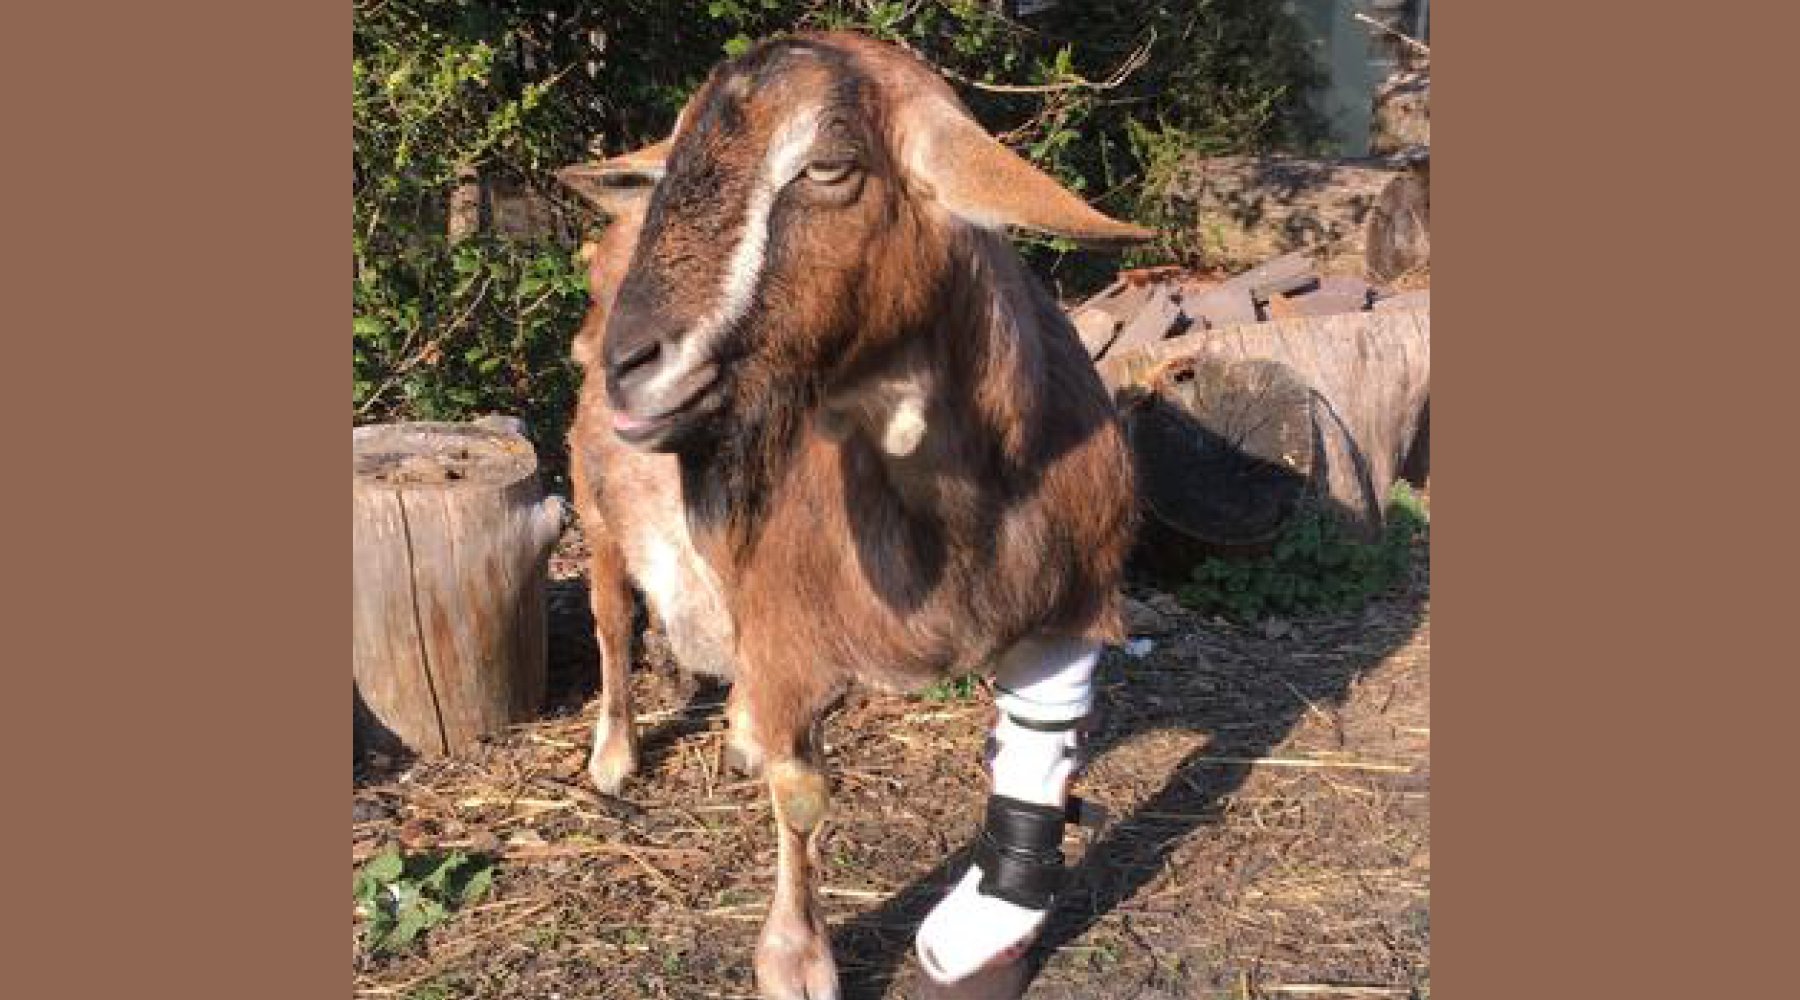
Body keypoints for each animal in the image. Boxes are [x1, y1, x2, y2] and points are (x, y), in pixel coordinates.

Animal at [557, 32, 1150, 1000]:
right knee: (612, 622)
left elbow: (1042, 746)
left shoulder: (1073, 601)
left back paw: (738, 735)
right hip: (597, 507)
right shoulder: (791, 633)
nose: (630, 361)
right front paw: (796, 960)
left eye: (829, 166)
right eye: (679, 160)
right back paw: (614, 757)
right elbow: (802, 793)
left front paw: (990, 927)